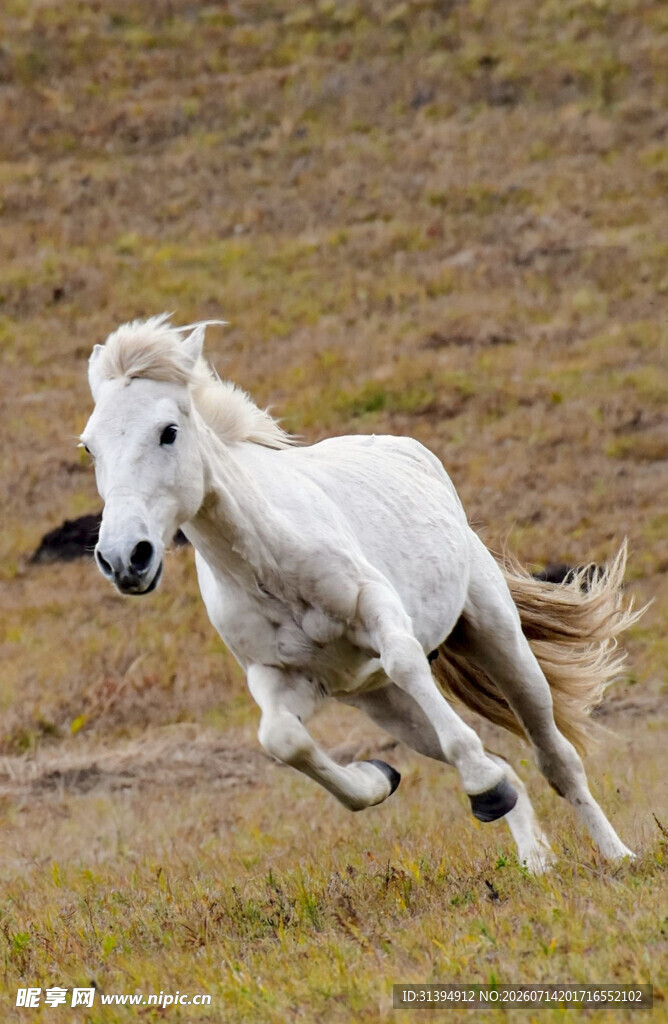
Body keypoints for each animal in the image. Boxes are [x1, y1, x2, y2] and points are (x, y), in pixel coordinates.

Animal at [81, 315, 641, 873]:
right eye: (89, 446)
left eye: (168, 432)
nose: (124, 558)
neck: (268, 564)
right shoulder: (286, 677)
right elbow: (283, 740)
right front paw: (380, 777)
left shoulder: (378, 613)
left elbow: (405, 661)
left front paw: (479, 787)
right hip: (387, 705)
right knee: (507, 765)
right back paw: (535, 860)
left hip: (499, 641)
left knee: (556, 757)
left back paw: (618, 855)